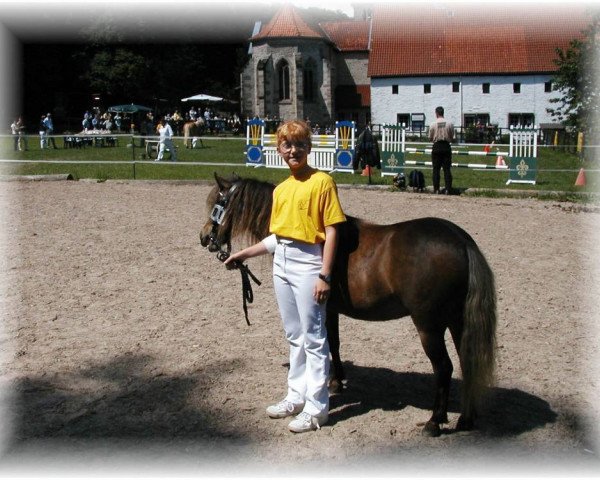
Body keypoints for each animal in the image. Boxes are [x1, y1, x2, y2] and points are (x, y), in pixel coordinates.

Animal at [199, 174, 494, 436]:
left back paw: (435, 422)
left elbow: (330, 343)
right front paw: (337, 381)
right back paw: (465, 419)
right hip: (457, 322)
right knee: (468, 361)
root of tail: (461, 240)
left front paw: (331, 383)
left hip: (429, 326)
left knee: (444, 367)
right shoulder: (332, 310)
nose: (204, 238)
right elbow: (336, 344)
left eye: (218, 204)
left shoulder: (324, 309)